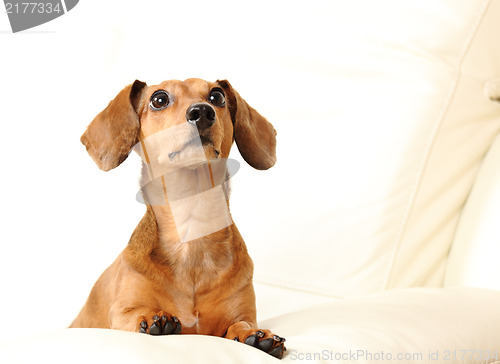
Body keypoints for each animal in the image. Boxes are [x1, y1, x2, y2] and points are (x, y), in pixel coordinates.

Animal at [72, 79, 288, 358]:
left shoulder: (241, 314)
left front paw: (255, 335)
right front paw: (154, 318)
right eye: (159, 99)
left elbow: (241, 324)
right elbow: (136, 313)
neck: (191, 225)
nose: (202, 112)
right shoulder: (121, 312)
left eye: (217, 96)